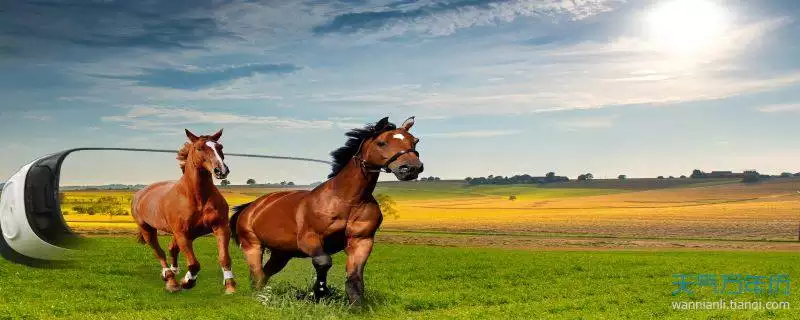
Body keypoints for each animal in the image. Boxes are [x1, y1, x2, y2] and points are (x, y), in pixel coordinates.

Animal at [131, 129, 236, 294]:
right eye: (199, 148)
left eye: (220, 147)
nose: (221, 170)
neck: (198, 198)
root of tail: (139, 194)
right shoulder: (182, 234)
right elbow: (194, 264)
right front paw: (187, 282)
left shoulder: (220, 228)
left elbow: (224, 258)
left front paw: (230, 287)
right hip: (147, 230)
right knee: (159, 252)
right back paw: (170, 280)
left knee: (171, 249)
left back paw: (174, 272)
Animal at [228, 116, 422, 306]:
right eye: (381, 142)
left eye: (414, 141)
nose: (412, 167)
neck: (348, 200)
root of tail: (250, 207)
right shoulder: (309, 239)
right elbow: (323, 262)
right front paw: (320, 293)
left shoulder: (362, 241)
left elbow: (354, 277)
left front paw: (357, 306)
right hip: (252, 246)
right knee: (257, 274)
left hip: (281, 254)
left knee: (265, 274)